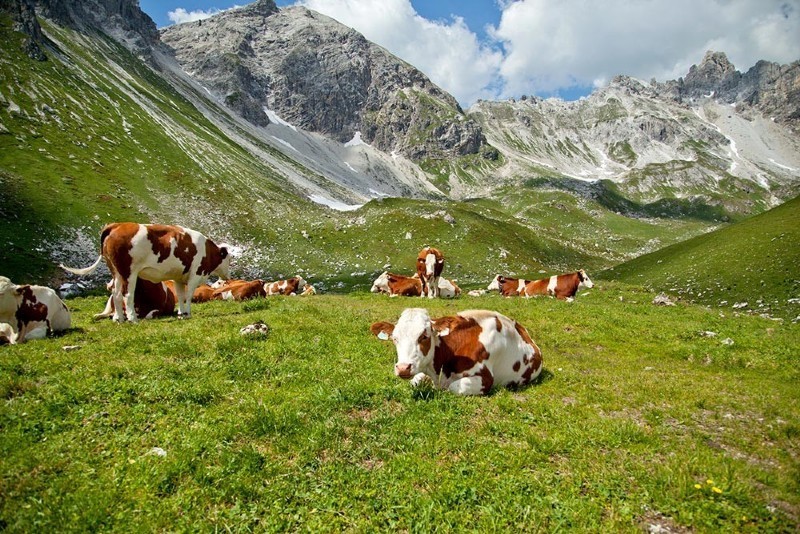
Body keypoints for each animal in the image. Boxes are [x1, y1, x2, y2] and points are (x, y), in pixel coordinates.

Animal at [60, 223, 230, 322]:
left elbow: (181, 296)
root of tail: (117, 225)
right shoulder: (195, 274)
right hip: (129, 272)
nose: (228, 277)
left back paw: (118, 318)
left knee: (116, 293)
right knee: (127, 294)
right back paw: (132, 318)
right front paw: (188, 313)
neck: (208, 251)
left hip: (116, 272)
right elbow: (188, 296)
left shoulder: (178, 278)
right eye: (229, 259)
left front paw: (182, 314)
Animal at [370, 310, 544, 398]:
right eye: (395, 338)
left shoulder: (485, 379)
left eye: (424, 336)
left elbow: (452, 387)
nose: (403, 368)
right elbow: (415, 381)